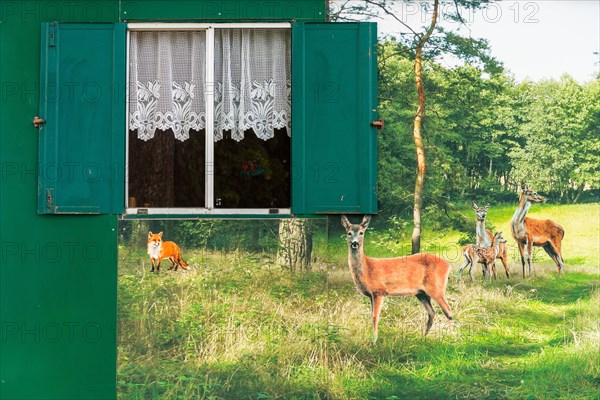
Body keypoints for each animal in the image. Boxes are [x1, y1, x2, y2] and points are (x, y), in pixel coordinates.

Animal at [340, 214, 452, 342]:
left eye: (361, 233)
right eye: (349, 233)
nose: (354, 243)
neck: (367, 268)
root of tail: (448, 264)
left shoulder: (379, 291)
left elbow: (375, 317)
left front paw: (374, 341)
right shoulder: (371, 295)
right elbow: (371, 316)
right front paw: (372, 339)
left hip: (437, 288)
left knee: (448, 311)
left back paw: (453, 338)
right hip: (421, 293)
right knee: (432, 312)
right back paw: (422, 338)